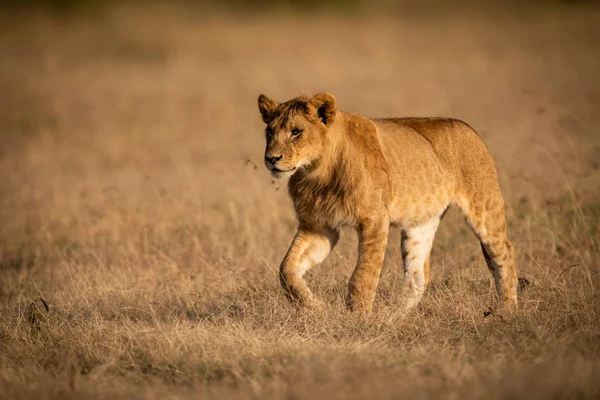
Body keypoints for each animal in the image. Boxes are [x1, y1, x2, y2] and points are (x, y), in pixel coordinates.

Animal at [255, 92, 516, 314]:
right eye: (269, 132)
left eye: (296, 132)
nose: (271, 158)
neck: (316, 173)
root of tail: (469, 129)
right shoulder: (318, 227)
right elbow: (287, 269)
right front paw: (314, 306)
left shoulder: (374, 221)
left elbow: (363, 275)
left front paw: (357, 320)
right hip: (420, 223)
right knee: (417, 277)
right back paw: (395, 317)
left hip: (484, 207)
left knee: (504, 253)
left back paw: (507, 310)